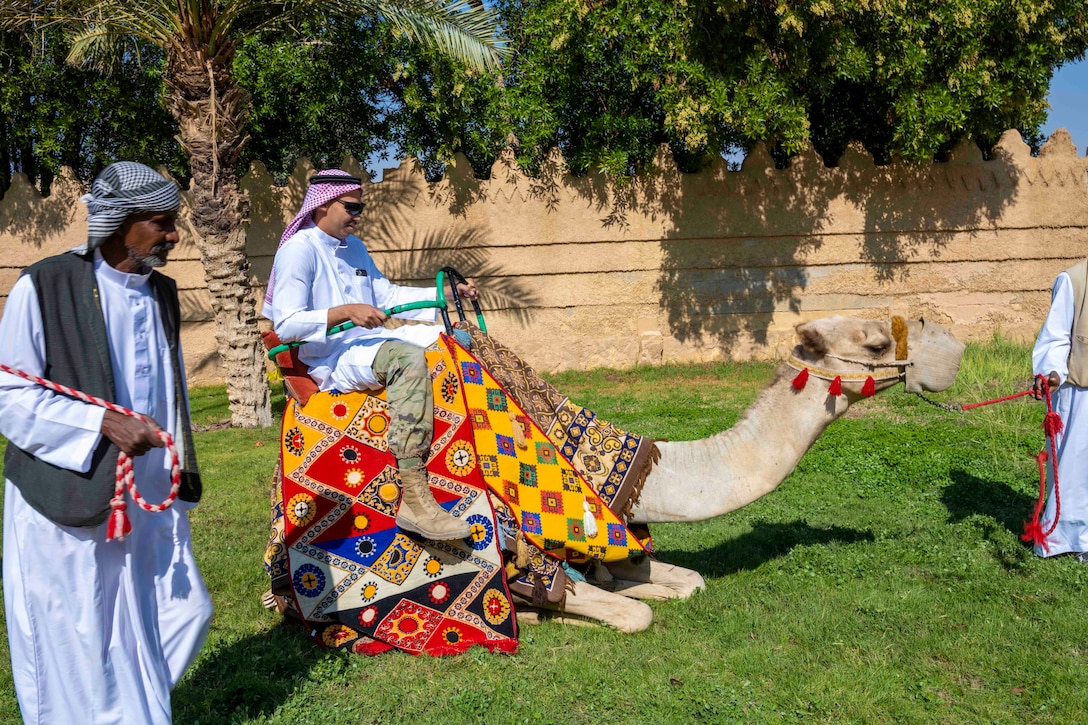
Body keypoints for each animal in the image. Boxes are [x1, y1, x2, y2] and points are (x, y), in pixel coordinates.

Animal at [513, 313, 966, 631]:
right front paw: (537, 611)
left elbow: (689, 580)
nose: (955, 347)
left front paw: (632, 585)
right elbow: (632, 613)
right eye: (877, 344)